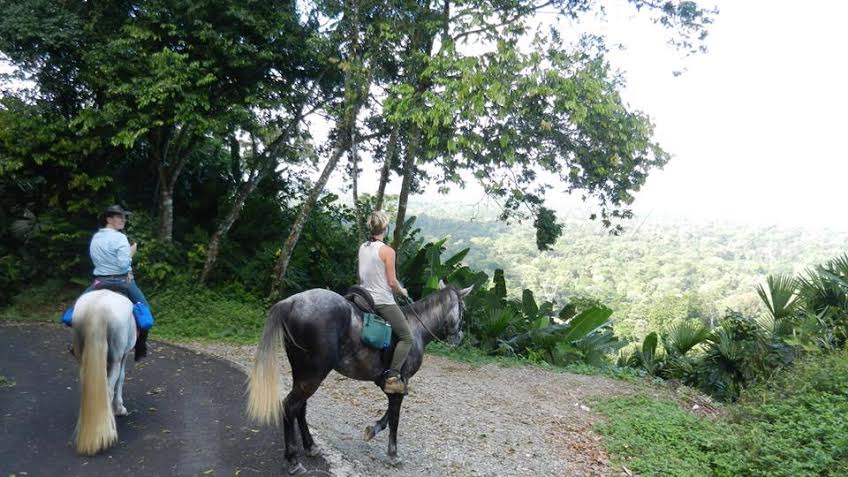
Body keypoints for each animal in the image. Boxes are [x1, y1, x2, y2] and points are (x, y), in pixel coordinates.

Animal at [69, 288, 137, 456]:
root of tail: (97, 307)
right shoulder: (124, 356)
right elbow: (121, 379)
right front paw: (120, 409)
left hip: (83, 356)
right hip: (117, 358)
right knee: (109, 389)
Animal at [247, 282, 470, 472]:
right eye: (463, 308)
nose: (459, 337)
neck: (415, 328)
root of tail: (292, 302)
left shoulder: (391, 385)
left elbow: (388, 416)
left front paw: (373, 429)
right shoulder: (400, 382)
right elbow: (394, 418)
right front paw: (393, 454)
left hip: (303, 374)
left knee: (300, 407)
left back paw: (310, 446)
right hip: (313, 375)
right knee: (290, 406)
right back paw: (293, 459)